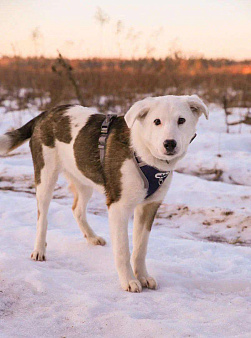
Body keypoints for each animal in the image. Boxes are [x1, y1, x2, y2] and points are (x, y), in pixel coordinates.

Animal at [0, 95, 208, 294]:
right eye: (157, 121)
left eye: (181, 120)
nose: (170, 144)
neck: (143, 152)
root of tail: (45, 114)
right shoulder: (118, 207)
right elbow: (123, 250)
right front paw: (129, 281)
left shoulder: (149, 206)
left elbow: (140, 249)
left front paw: (143, 276)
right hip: (46, 176)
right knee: (42, 217)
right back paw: (38, 250)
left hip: (84, 178)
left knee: (76, 209)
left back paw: (91, 237)